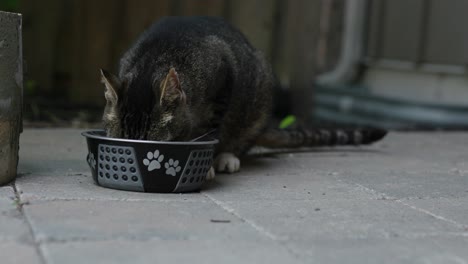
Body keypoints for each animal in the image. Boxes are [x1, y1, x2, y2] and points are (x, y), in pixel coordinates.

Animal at [99, 16, 388, 177]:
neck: (155, 60)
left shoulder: (224, 74)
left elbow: (212, 129)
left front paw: (208, 162)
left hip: (259, 93)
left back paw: (228, 156)